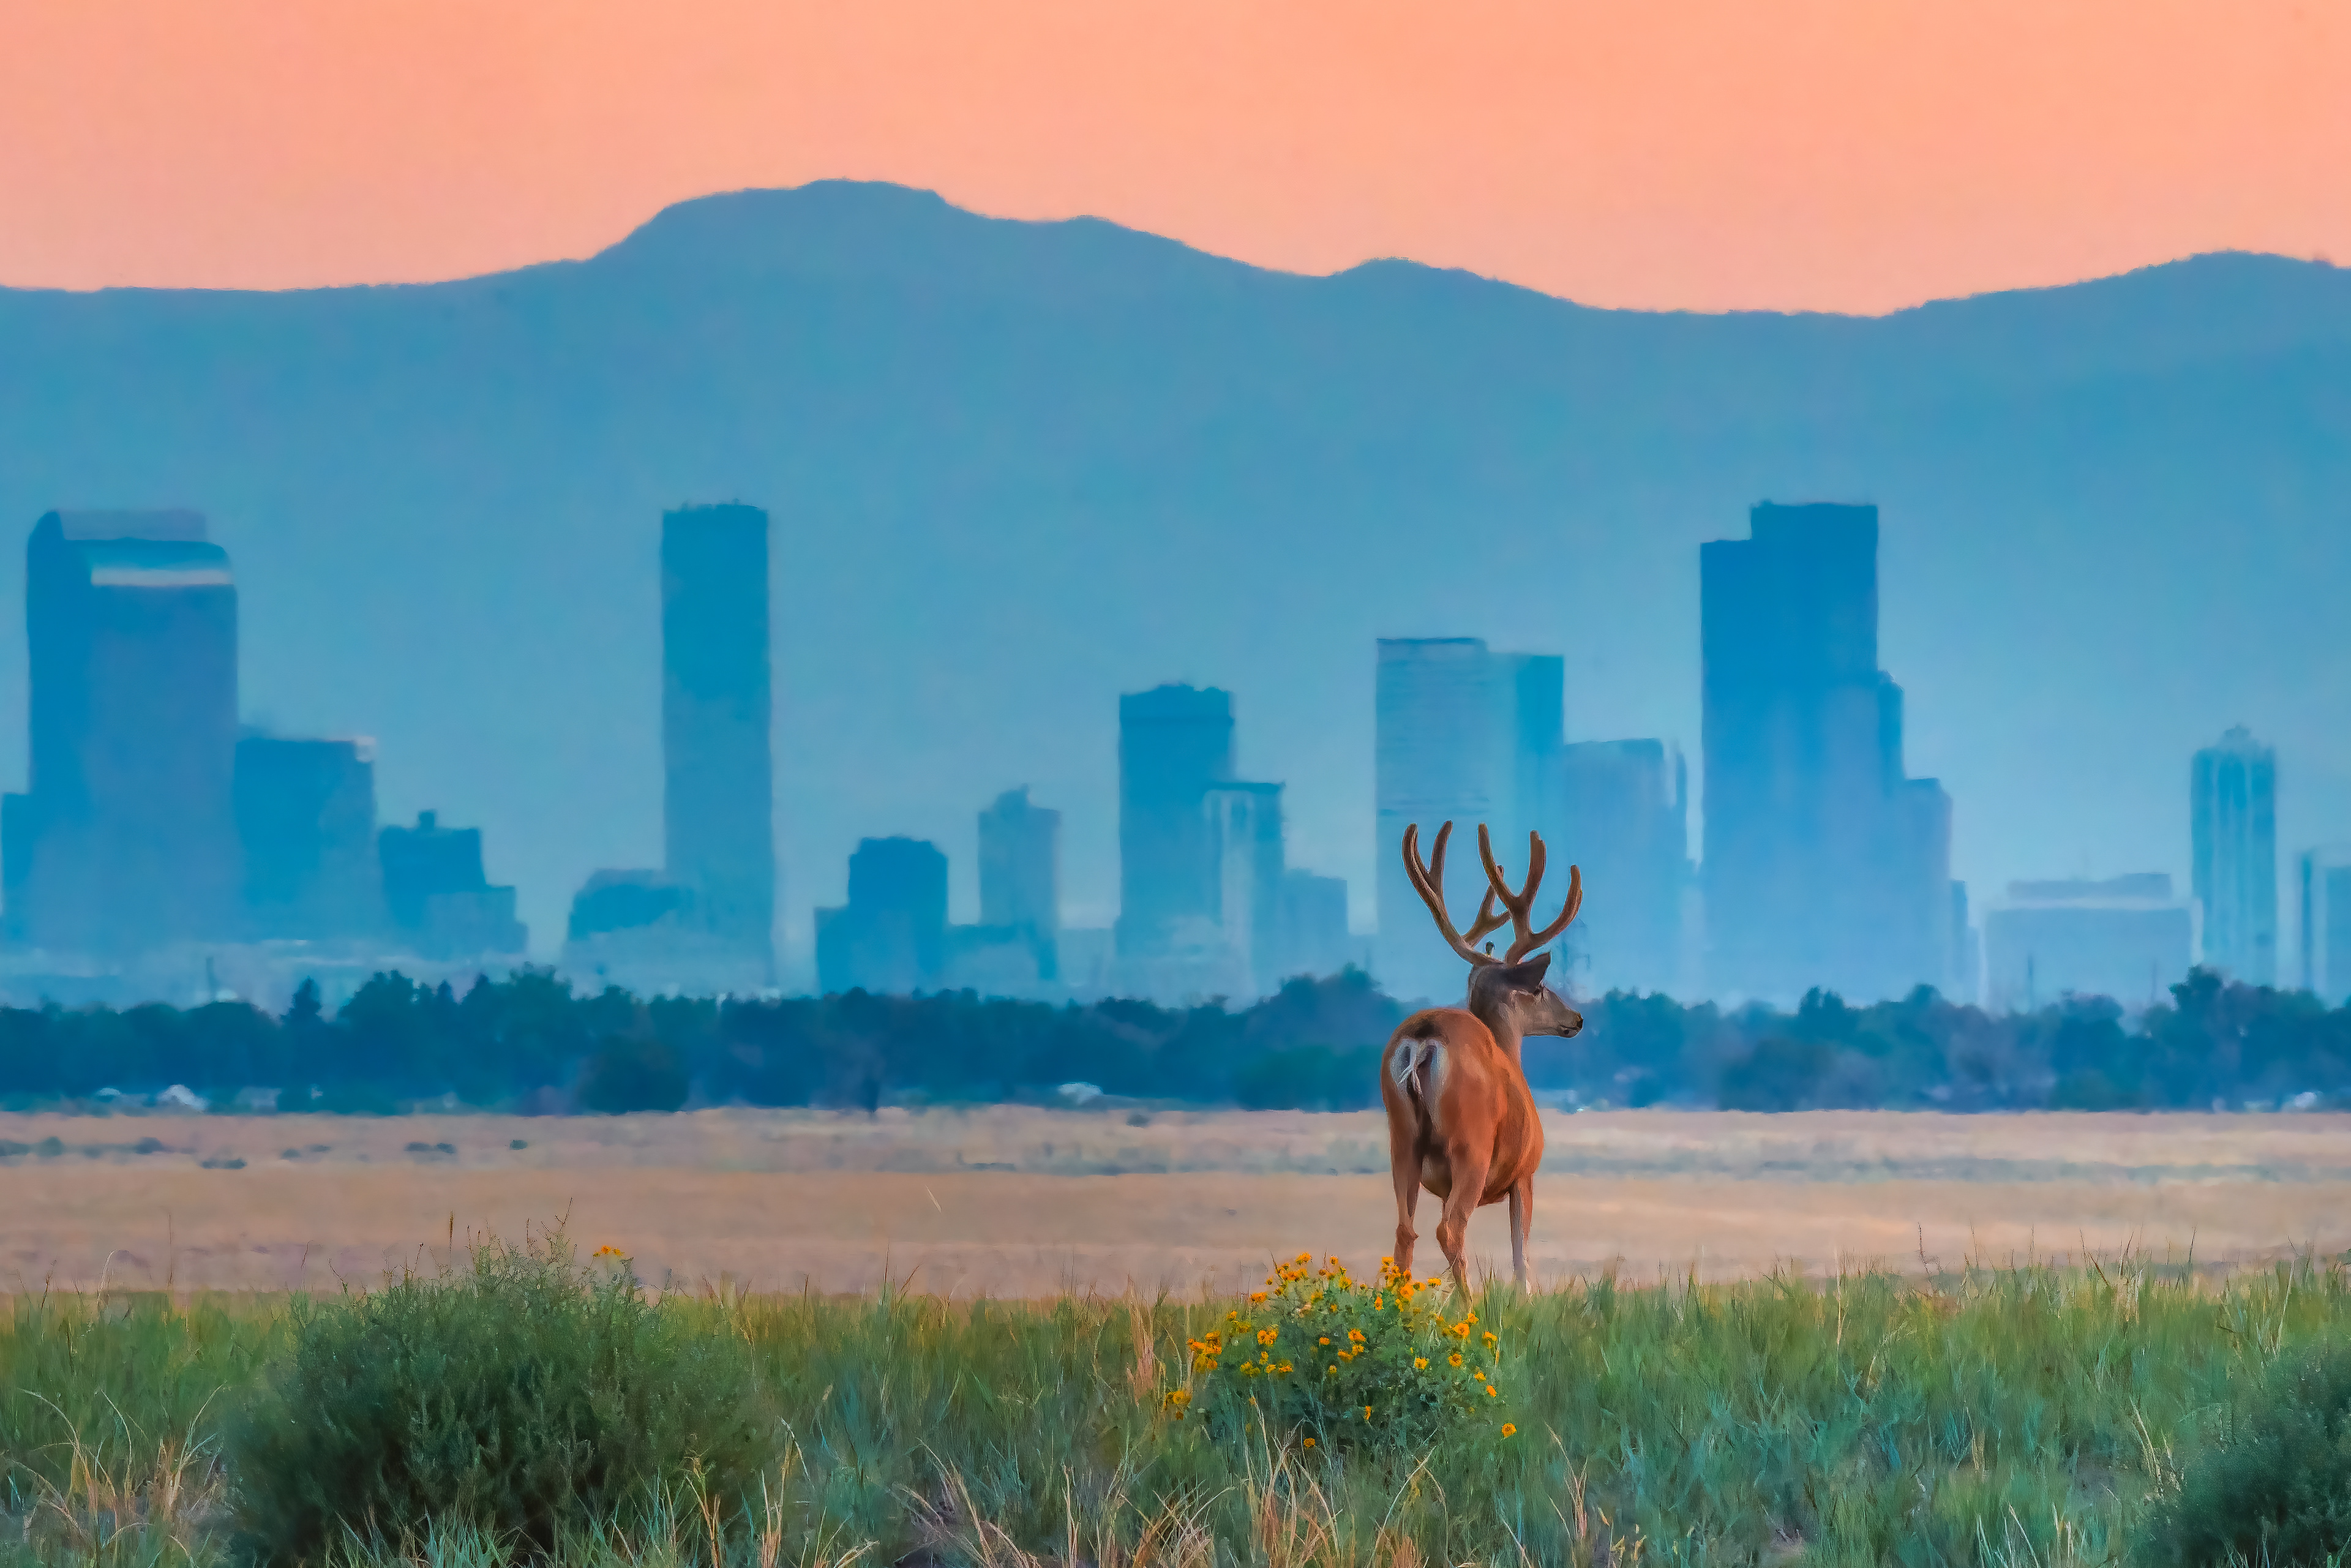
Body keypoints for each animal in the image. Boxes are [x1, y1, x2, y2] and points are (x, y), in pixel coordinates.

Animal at [1381, 821, 1584, 1295]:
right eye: (1539, 988)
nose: (1577, 1018)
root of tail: (1423, 1041)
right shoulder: (1525, 1173)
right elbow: (1520, 1259)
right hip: (1471, 1144)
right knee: (1449, 1228)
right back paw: (1469, 1304)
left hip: (1402, 1138)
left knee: (1405, 1231)